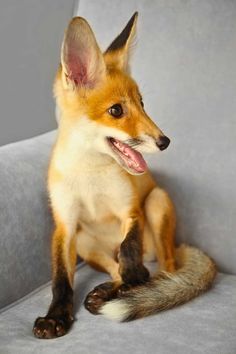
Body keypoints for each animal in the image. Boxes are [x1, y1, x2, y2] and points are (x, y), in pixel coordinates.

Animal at [32, 11, 216, 340]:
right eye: (116, 110)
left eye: (142, 104)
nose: (165, 141)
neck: (90, 176)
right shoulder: (65, 225)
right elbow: (61, 280)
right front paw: (56, 317)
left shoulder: (130, 211)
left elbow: (130, 253)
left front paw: (134, 288)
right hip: (85, 242)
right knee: (117, 268)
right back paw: (110, 289)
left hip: (156, 203)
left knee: (162, 269)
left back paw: (139, 288)